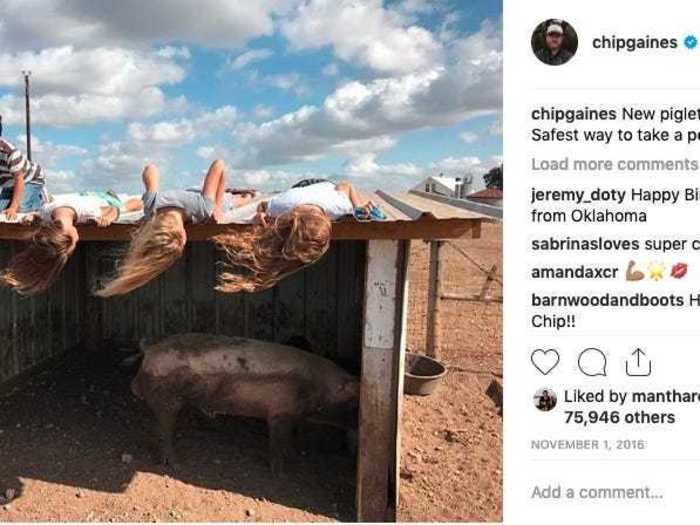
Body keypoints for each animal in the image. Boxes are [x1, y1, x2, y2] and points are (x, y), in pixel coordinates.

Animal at [130, 334, 360, 472]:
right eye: (353, 405)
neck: (319, 388)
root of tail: (150, 349)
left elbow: (290, 439)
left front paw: (296, 457)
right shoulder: (279, 413)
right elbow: (277, 442)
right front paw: (279, 473)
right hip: (166, 400)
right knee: (165, 429)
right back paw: (175, 465)